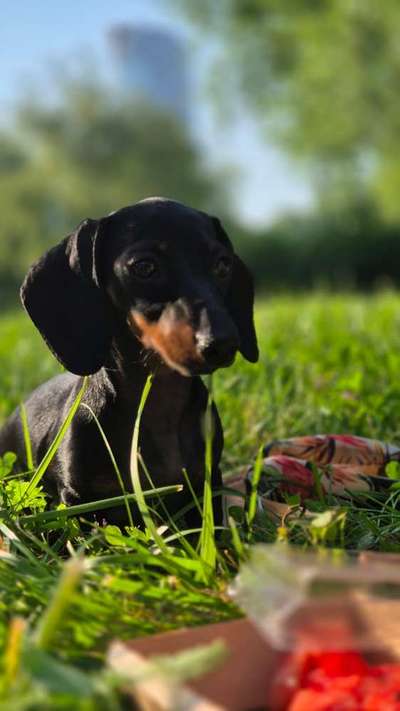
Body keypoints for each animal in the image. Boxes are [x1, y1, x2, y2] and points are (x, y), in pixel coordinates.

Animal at [0, 197, 258, 524]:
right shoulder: (80, 500)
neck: (158, 403)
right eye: (145, 267)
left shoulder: (206, 486)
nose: (223, 344)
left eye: (222, 264)